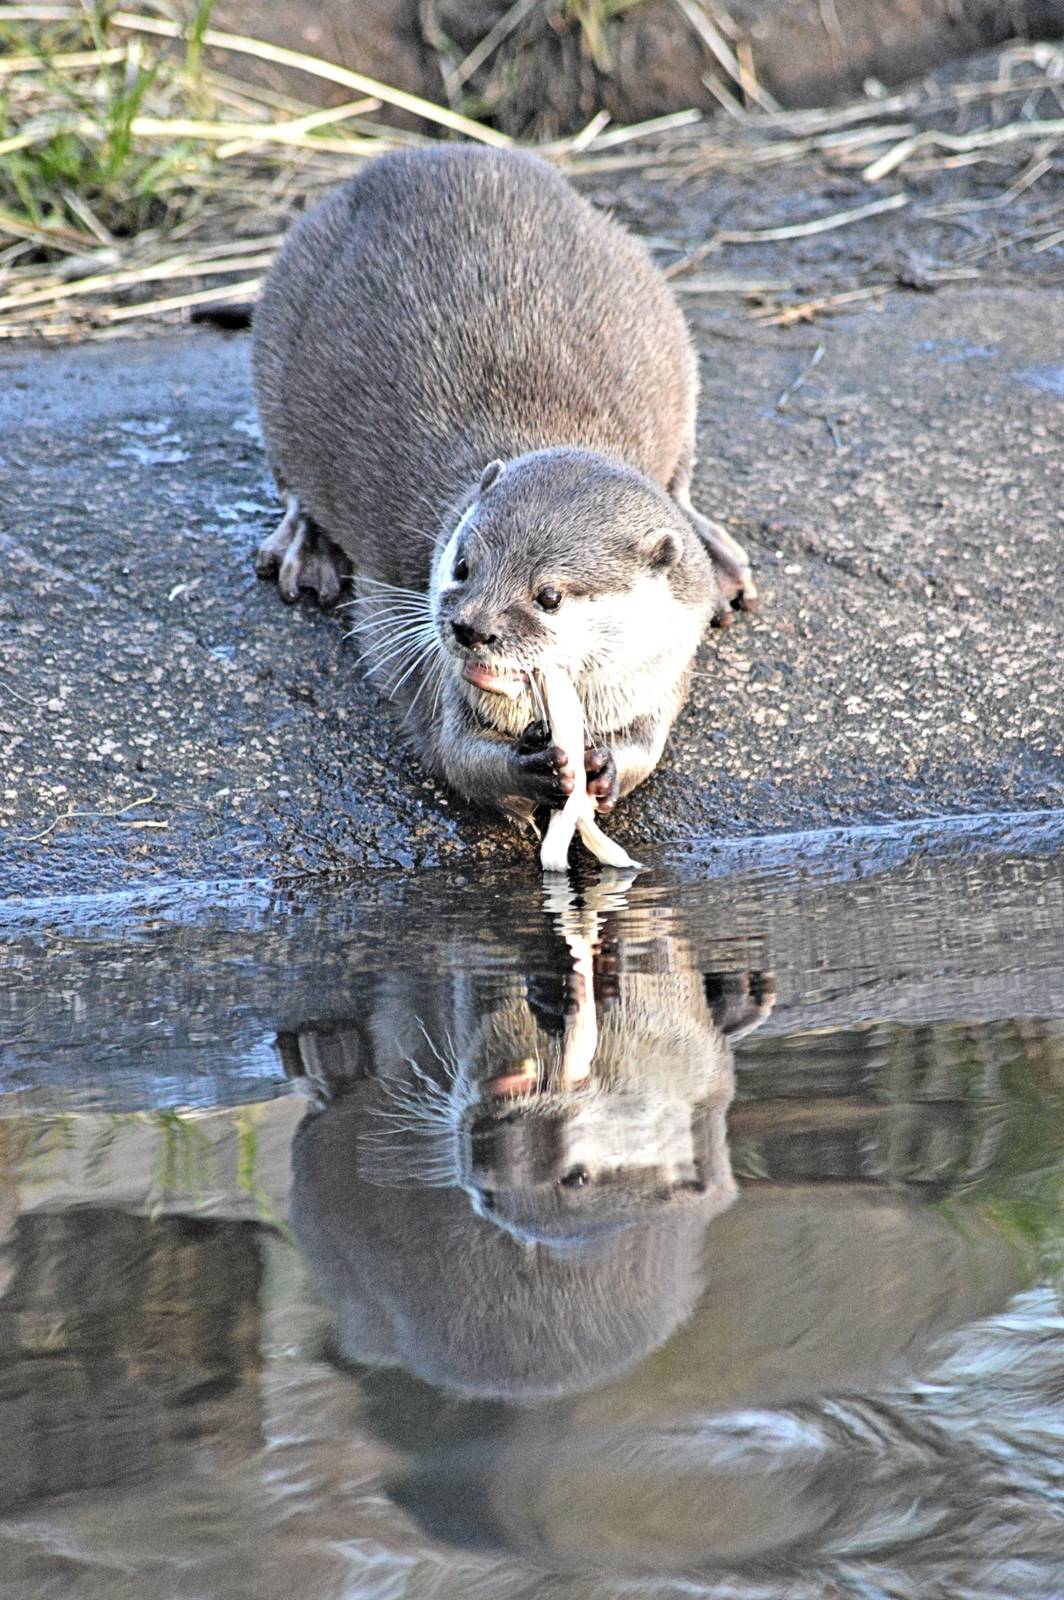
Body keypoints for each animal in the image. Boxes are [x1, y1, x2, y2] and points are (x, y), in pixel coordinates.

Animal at [252, 145, 756, 820]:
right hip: (277, 339)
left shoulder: (668, 659)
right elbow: (457, 756)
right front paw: (529, 766)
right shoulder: (439, 678)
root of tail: (430, 152)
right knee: (292, 481)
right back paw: (306, 552)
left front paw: (609, 764)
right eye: (463, 565)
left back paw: (722, 560)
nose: (472, 628)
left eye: (550, 596)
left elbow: (651, 741)